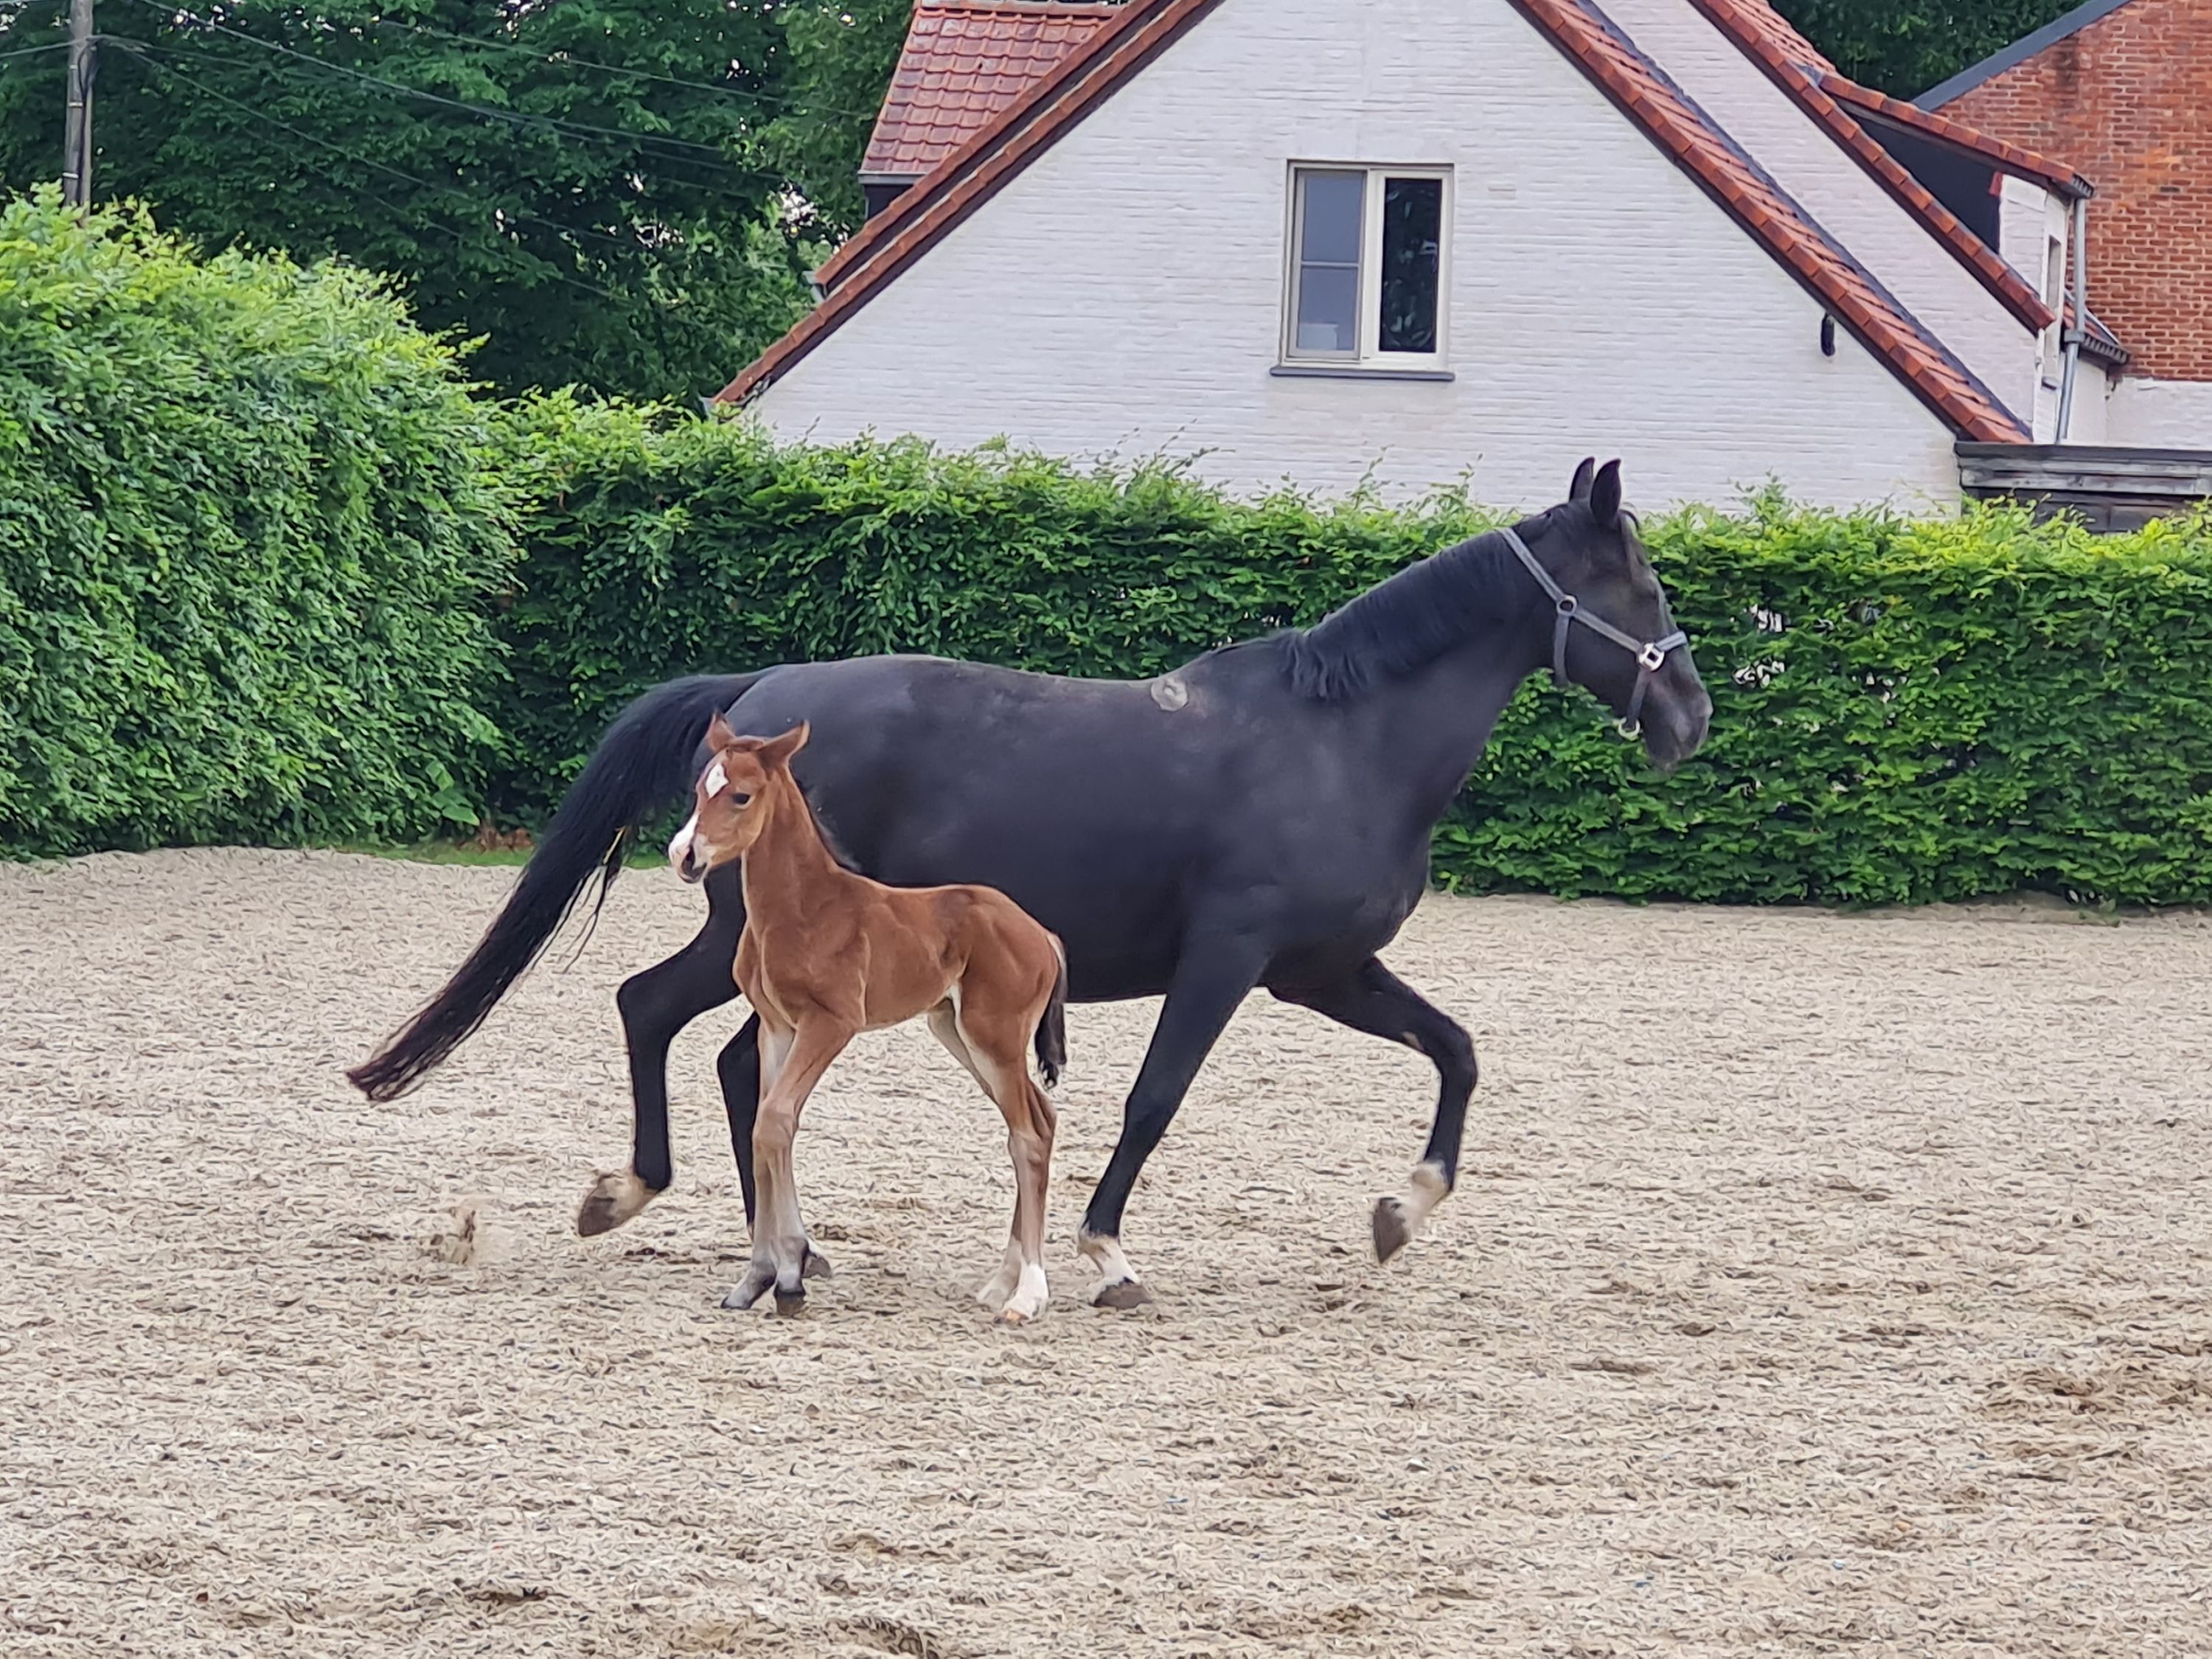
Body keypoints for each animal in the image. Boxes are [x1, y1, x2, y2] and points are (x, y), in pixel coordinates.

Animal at [579, 716, 1069, 1321]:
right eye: (698, 789)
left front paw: (788, 1278)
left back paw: (1027, 1293)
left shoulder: (831, 1024)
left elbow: (775, 1120)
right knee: (1038, 1119)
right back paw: (1001, 1282)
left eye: (741, 796)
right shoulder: (777, 1027)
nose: (684, 856)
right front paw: (758, 1278)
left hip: (993, 1036)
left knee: (1027, 1135)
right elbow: (765, 1125)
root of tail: (1043, 935)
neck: (805, 907)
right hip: (957, 1032)